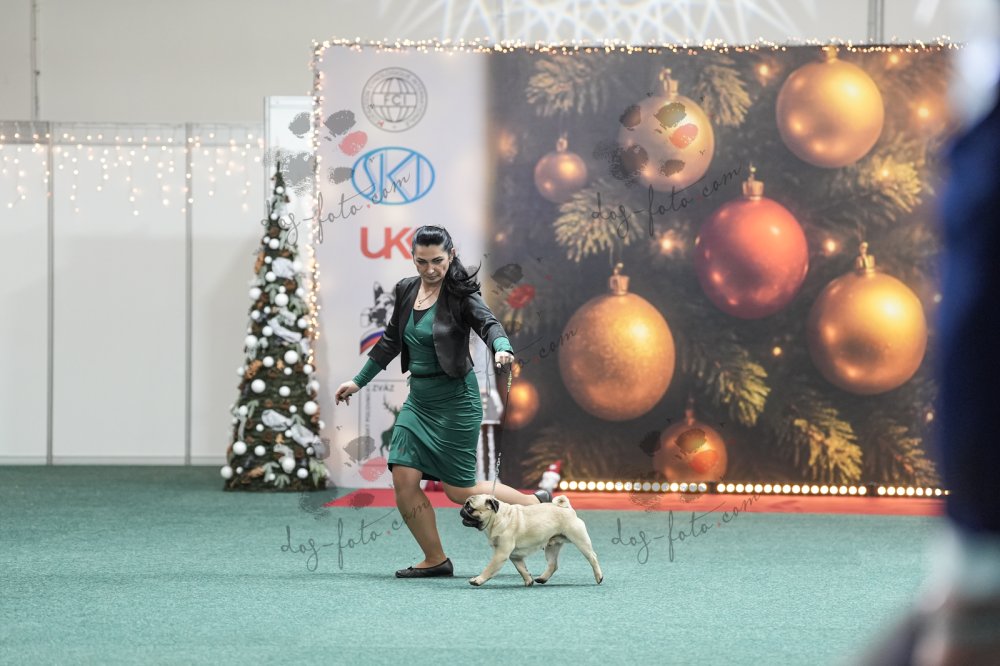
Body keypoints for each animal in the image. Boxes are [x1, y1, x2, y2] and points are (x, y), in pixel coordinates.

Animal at [459, 493, 604, 587]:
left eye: (470, 508)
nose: (461, 510)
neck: (497, 518)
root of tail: (567, 508)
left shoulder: (501, 554)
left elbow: (489, 568)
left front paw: (478, 580)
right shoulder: (514, 556)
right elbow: (522, 569)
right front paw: (529, 581)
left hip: (580, 541)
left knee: (593, 557)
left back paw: (599, 577)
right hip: (551, 546)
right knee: (553, 564)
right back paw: (542, 579)